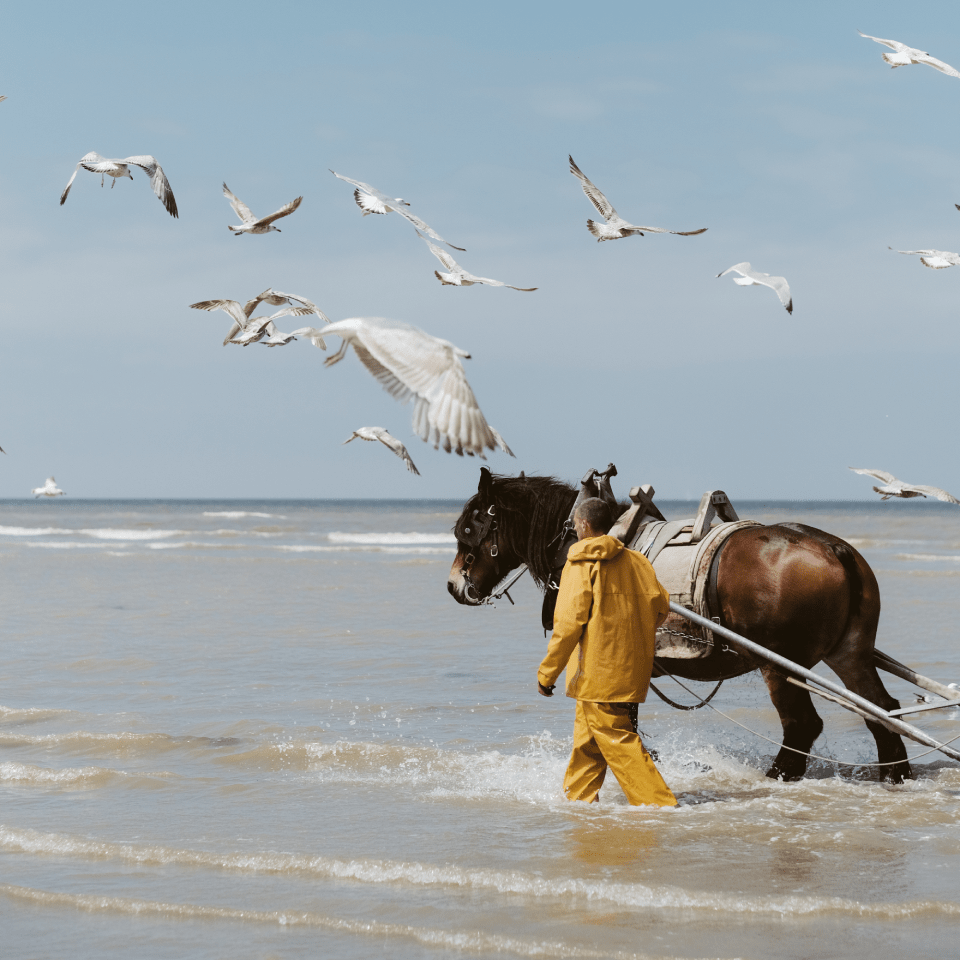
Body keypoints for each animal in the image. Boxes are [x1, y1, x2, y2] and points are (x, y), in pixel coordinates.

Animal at [446, 468, 912, 784]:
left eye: (468, 528)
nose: (453, 585)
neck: (577, 541)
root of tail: (833, 549)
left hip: (778, 664)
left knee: (803, 725)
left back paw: (778, 774)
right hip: (850, 653)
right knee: (883, 711)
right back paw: (895, 772)